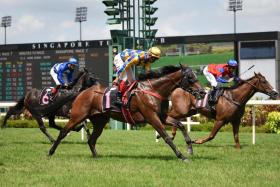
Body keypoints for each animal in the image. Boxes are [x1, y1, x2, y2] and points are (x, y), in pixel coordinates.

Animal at [48, 65, 203, 161]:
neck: (153, 90)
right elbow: (166, 136)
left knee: (91, 140)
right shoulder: (152, 117)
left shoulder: (162, 116)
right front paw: (181, 156)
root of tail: (83, 91)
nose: (202, 91)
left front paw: (190, 147)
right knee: (63, 132)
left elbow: (180, 125)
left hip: (100, 121)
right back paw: (50, 152)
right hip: (78, 116)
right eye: (190, 78)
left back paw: (97, 156)